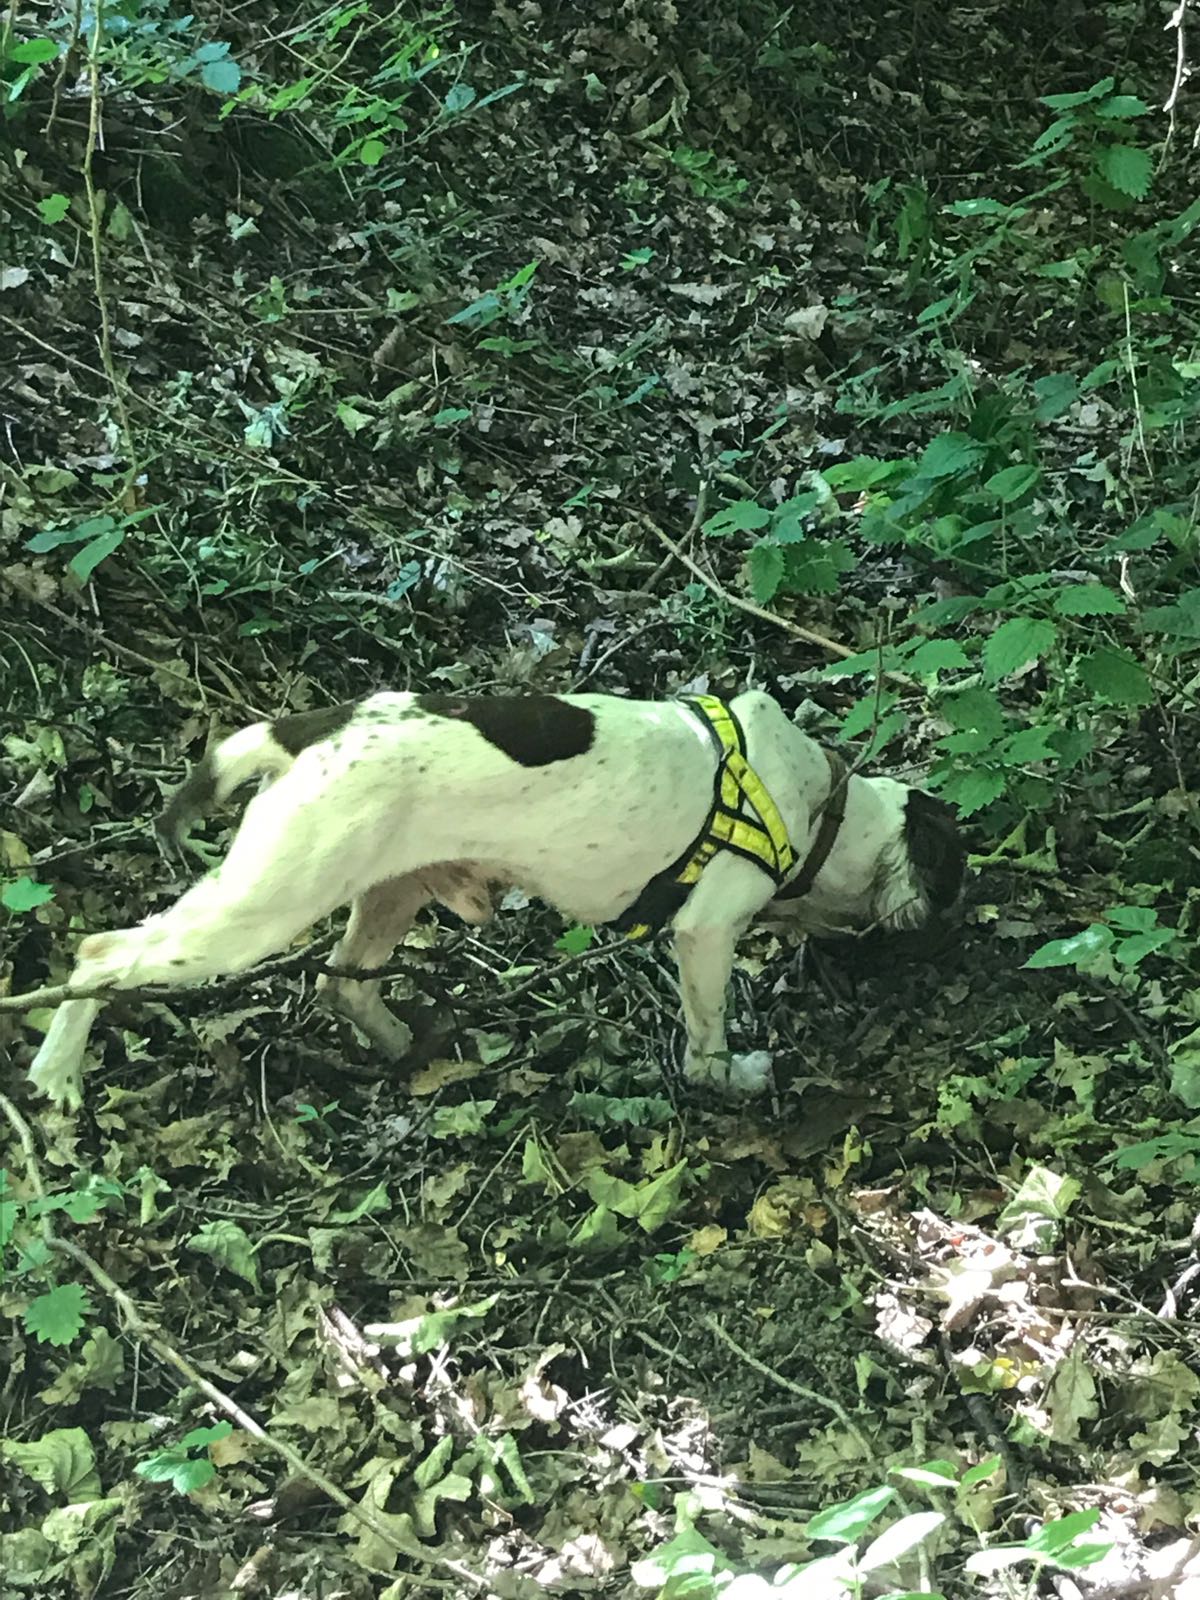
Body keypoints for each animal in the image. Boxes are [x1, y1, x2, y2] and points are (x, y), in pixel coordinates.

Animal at [28, 688, 966, 1113]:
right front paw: (728, 1079)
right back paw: (58, 1072)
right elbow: (707, 1037)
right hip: (259, 907)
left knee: (340, 983)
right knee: (101, 953)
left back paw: (408, 1048)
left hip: (389, 891)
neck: (819, 806)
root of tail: (312, 730)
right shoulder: (704, 934)